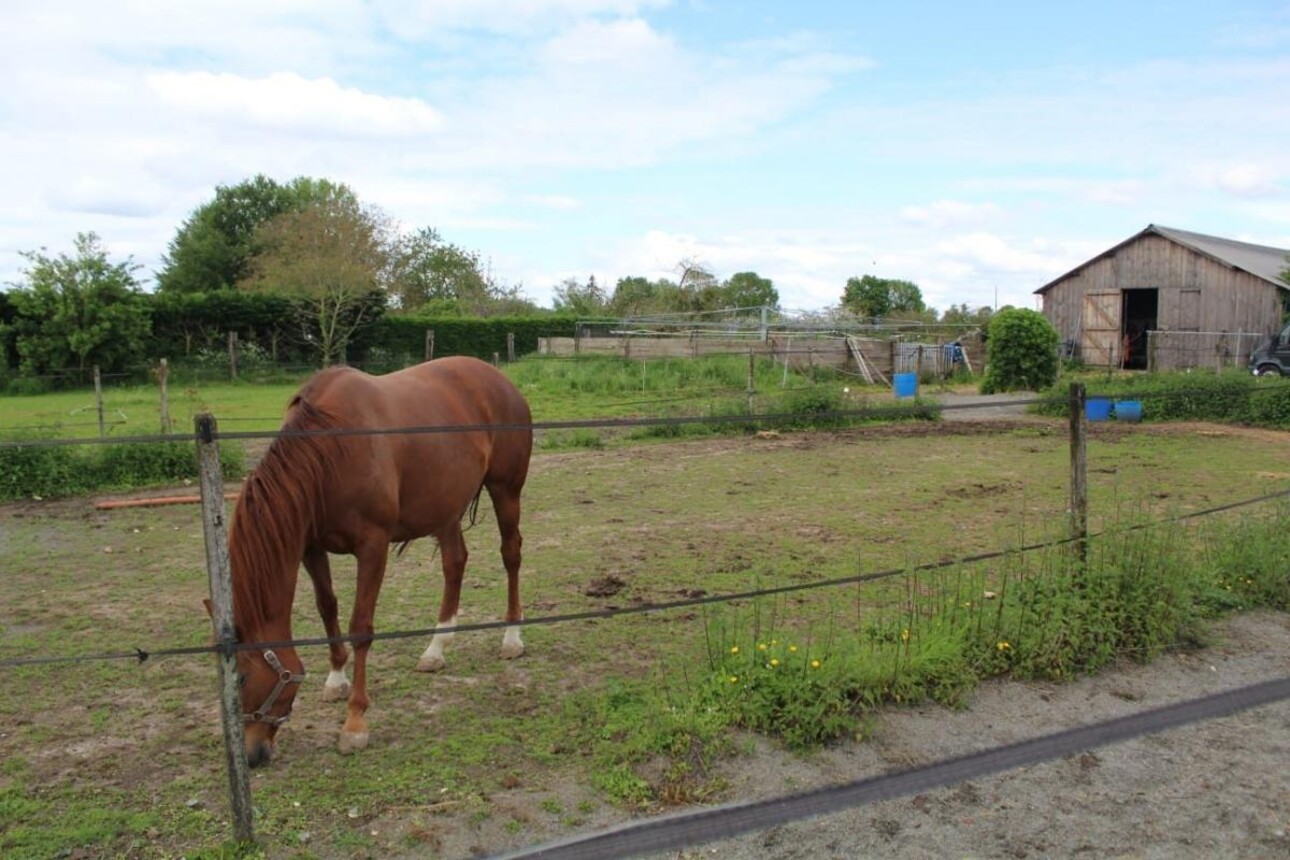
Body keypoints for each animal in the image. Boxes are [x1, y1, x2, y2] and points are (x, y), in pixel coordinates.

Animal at [228, 355, 534, 768]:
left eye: (243, 678)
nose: (251, 755)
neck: (329, 450)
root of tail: (499, 378)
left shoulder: (372, 546)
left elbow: (360, 627)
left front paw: (355, 722)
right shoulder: (311, 547)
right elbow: (327, 608)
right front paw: (336, 679)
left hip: (505, 490)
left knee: (510, 554)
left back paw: (512, 637)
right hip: (445, 506)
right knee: (455, 562)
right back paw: (435, 649)